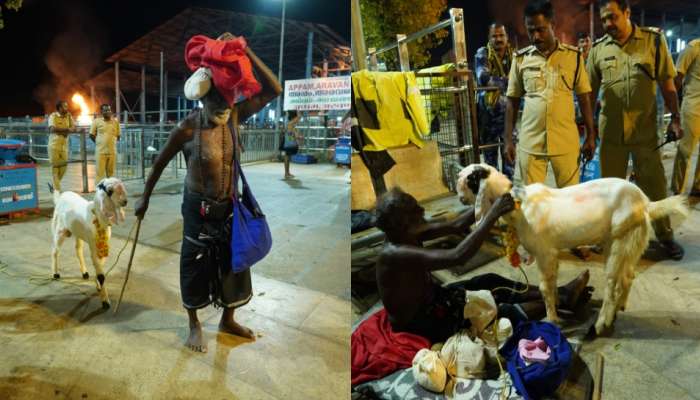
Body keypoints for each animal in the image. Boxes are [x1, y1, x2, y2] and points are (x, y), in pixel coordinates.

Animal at [49, 177, 129, 308]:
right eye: (109, 190)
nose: (125, 201)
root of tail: (60, 196)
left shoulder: (101, 247)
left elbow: (100, 266)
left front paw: (98, 285)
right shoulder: (94, 247)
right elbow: (101, 275)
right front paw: (105, 302)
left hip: (78, 233)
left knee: (78, 249)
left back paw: (85, 273)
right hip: (59, 229)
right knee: (55, 251)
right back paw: (55, 274)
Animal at [454, 163, 688, 334]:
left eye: (467, 179)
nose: (459, 197)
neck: (519, 204)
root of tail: (646, 204)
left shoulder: (545, 252)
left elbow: (545, 287)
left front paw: (552, 320)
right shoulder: (552, 254)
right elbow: (553, 283)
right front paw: (558, 306)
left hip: (622, 239)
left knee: (613, 284)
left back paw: (601, 325)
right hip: (627, 242)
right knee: (628, 277)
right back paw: (620, 307)